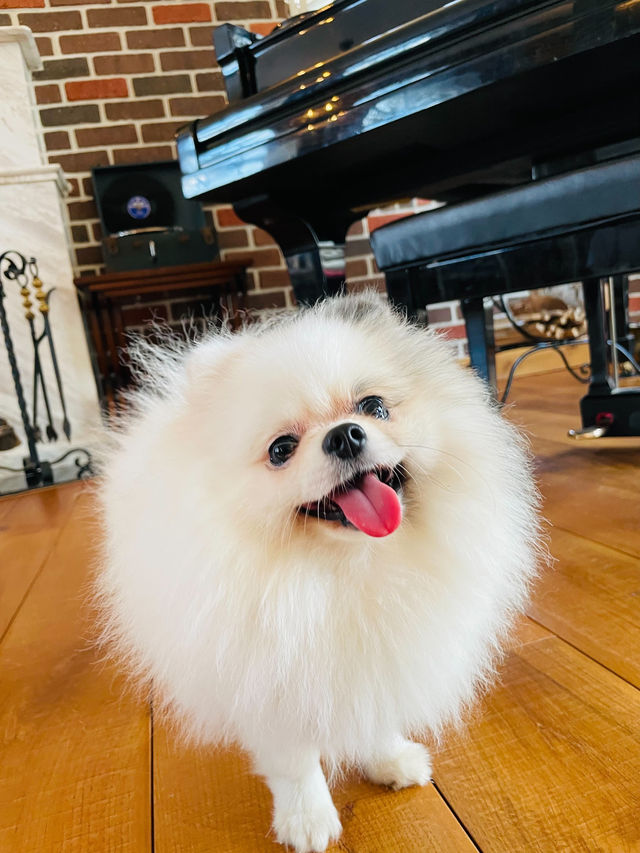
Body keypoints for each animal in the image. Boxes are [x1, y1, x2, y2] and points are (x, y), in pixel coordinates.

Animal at [96, 293, 540, 852]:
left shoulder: (376, 658)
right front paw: (306, 819)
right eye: (281, 450)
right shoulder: (267, 680)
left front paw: (388, 759)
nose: (345, 435)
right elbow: (294, 763)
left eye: (373, 407)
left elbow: (372, 710)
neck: (350, 569)